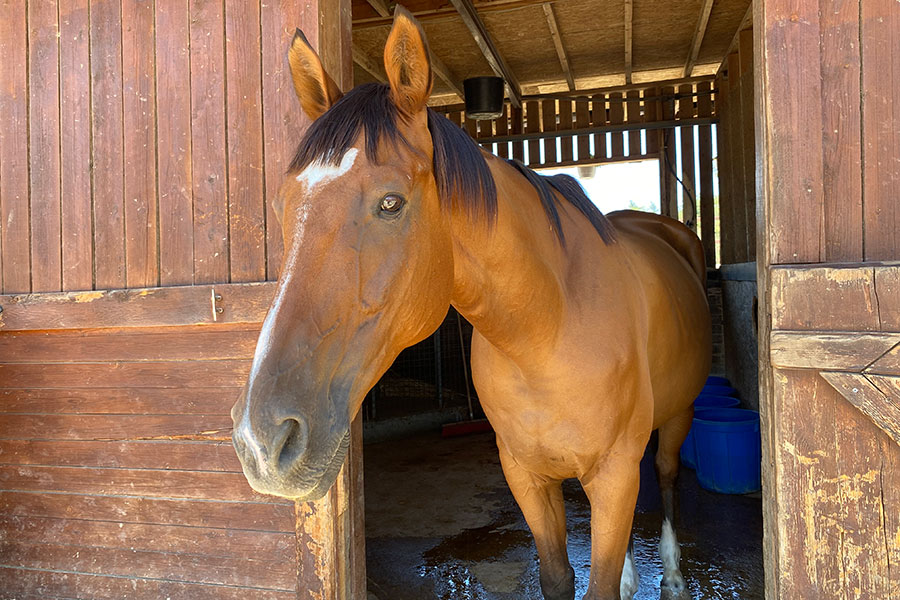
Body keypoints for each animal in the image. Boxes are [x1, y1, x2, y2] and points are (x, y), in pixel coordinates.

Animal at [231, 7, 710, 600]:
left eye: (391, 203)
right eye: (283, 205)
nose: (260, 441)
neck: (548, 330)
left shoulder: (614, 473)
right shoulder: (525, 475)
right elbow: (559, 577)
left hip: (678, 416)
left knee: (664, 477)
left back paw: (672, 575)